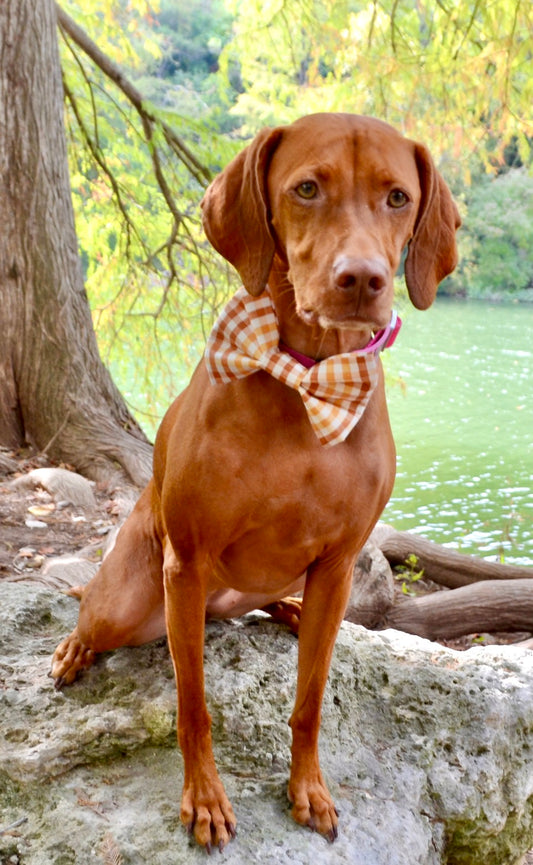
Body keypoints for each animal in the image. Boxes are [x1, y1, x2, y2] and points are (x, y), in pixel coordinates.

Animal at [50, 113, 460, 852]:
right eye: (306, 188)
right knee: (93, 611)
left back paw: (288, 611)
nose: (361, 278)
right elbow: (193, 705)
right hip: (131, 599)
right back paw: (74, 647)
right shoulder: (185, 562)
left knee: (268, 609)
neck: (307, 377)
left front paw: (309, 788)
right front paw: (205, 799)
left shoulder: (337, 563)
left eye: (397, 197)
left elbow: (309, 702)